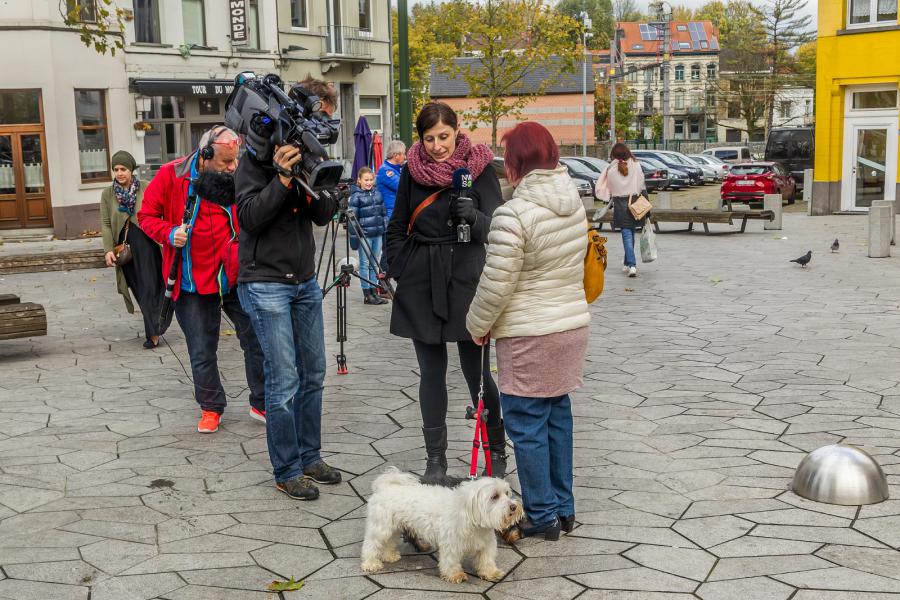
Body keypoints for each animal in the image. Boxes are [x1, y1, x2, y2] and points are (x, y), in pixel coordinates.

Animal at [360, 466, 524, 584]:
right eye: (494, 497)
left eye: (507, 493)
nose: (514, 507)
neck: (471, 517)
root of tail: (387, 486)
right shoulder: (451, 544)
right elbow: (451, 561)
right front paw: (455, 575)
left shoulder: (486, 543)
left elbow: (486, 560)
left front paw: (491, 573)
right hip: (381, 527)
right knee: (371, 545)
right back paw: (370, 563)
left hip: (395, 527)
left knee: (389, 542)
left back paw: (389, 556)